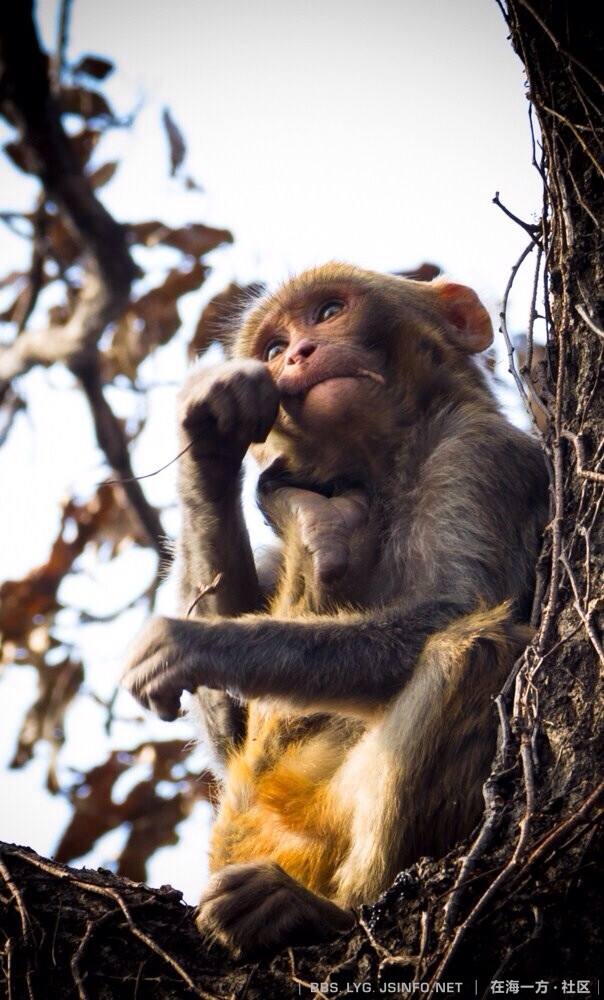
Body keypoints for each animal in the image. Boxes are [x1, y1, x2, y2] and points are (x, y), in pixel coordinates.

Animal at [121, 262, 548, 956]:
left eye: (327, 312)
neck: (390, 469)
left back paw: (332, 912)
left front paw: (192, 645)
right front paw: (210, 433)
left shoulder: (483, 455)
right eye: (272, 348)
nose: (297, 353)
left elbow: (459, 608)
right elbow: (233, 726)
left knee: (473, 649)